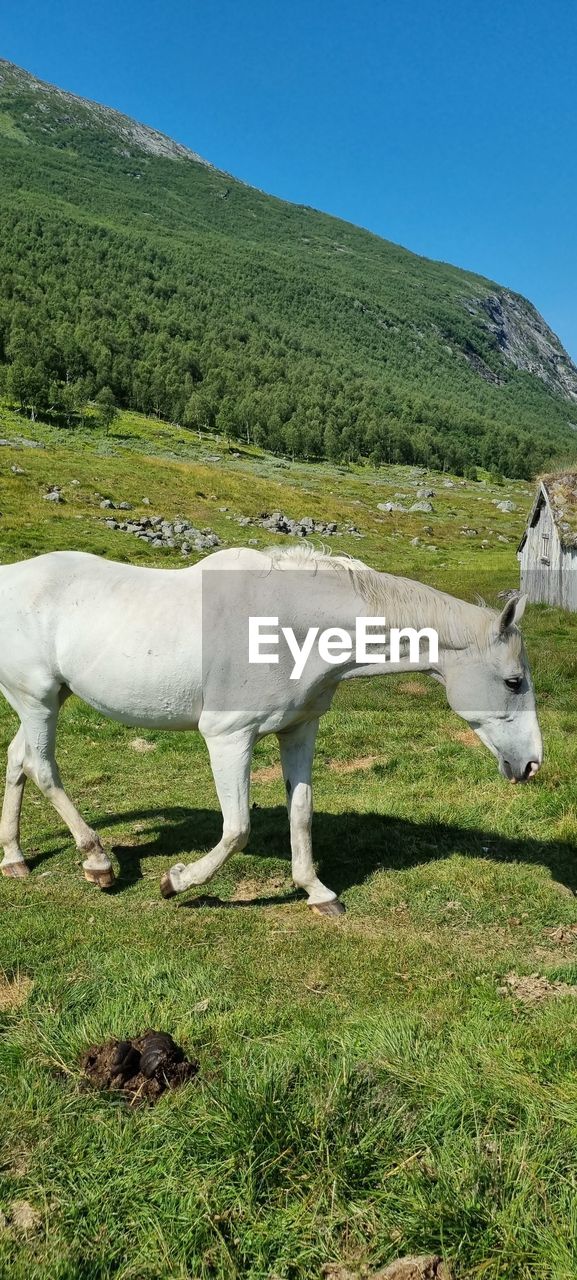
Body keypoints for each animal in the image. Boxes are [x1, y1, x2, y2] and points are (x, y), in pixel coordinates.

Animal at [0, 545, 542, 916]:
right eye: (513, 681)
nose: (532, 764)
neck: (289, 627)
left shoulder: (299, 731)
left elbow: (300, 814)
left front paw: (318, 893)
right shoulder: (229, 738)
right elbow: (238, 828)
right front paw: (177, 881)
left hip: (45, 700)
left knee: (17, 762)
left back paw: (15, 858)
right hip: (39, 700)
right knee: (42, 768)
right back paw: (98, 862)